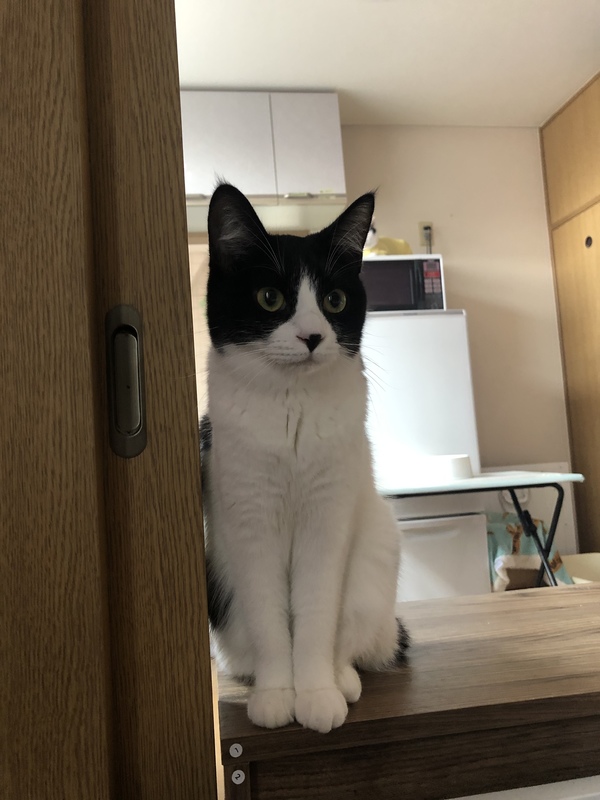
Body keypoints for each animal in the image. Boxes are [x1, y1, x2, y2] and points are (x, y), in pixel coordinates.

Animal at [201, 183, 408, 734]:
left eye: (334, 300)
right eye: (270, 298)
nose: (313, 336)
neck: (292, 406)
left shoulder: (327, 520)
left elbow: (315, 614)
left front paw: (315, 693)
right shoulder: (250, 524)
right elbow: (270, 617)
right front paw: (278, 695)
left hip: (375, 556)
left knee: (353, 640)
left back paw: (342, 679)